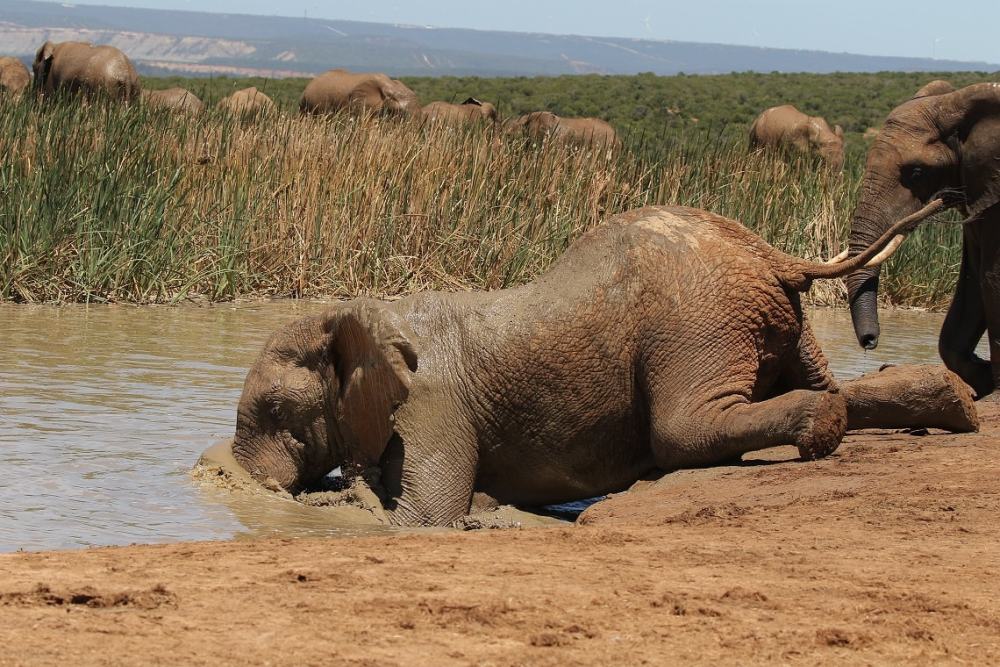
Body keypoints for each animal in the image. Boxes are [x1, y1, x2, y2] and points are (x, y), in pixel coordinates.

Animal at [217, 200, 968, 528]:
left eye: (277, 411)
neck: (366, 314)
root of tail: (770, 254)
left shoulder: (433, 404)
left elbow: (425, 518)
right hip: (785, 322)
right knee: (826, 382)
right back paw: (951, 405)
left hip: (692, 323)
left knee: (684, 430)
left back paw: (821, 428)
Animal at [848, 81, 1000, 400]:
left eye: (917, 172)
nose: (870, 341)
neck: (956, 100)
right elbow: (973, 281)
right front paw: (982, 379)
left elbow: (992, 278)